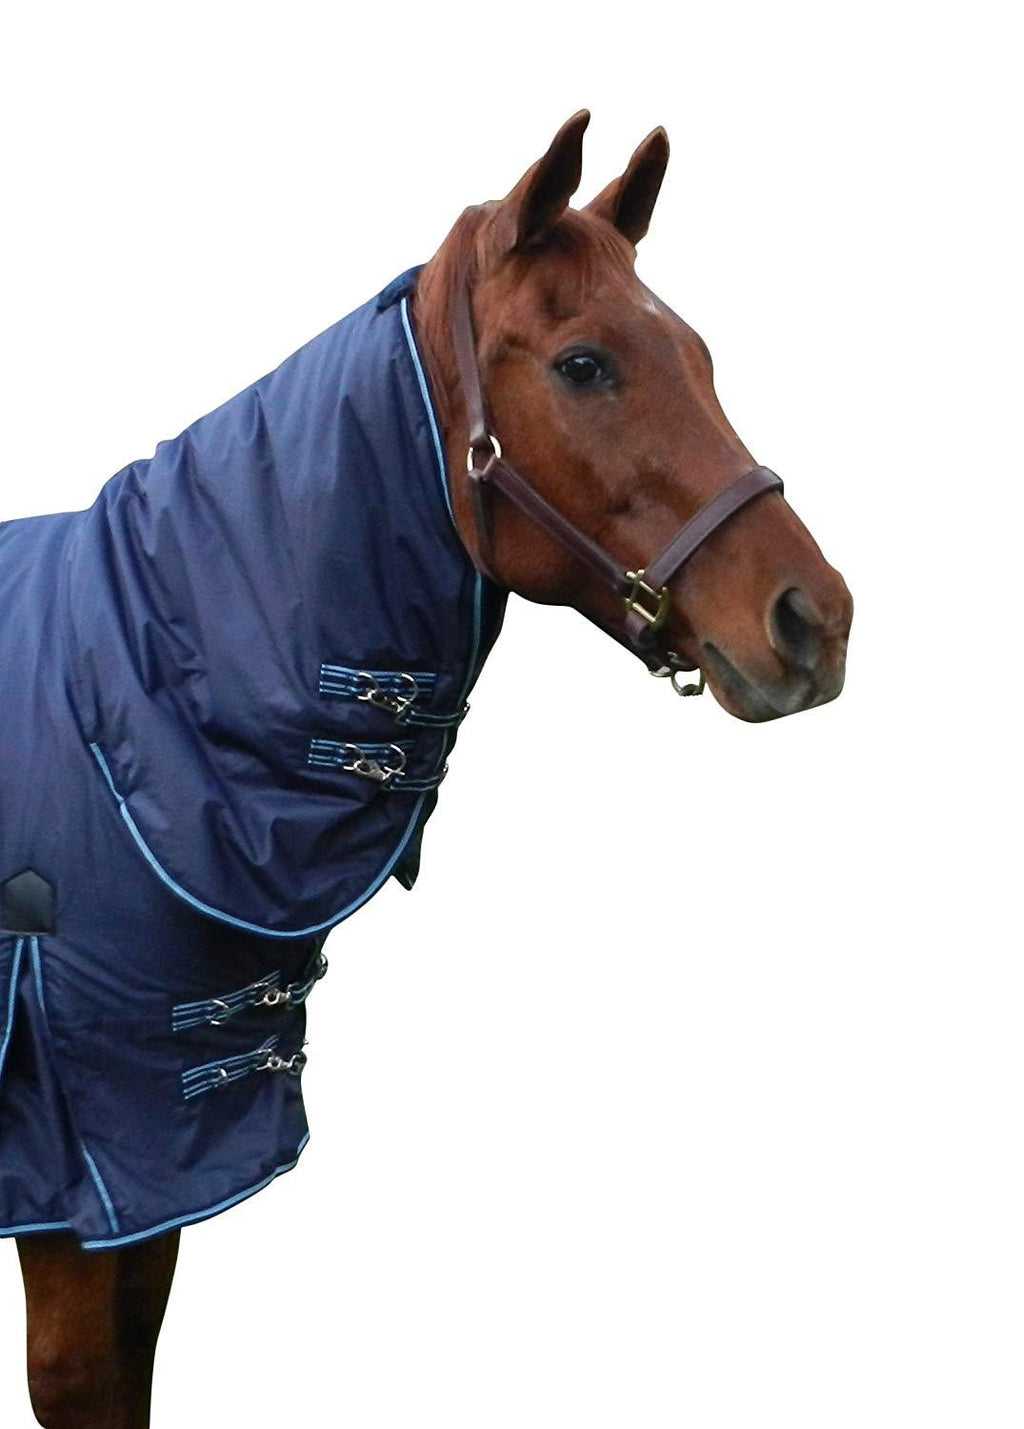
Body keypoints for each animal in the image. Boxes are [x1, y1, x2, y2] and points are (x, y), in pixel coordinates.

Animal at [0, 111, 852, 1426]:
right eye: (585, 365)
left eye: (699, 354)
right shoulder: (81, 1172)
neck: (138, 694)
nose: (814, 618)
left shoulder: (163, 1170)